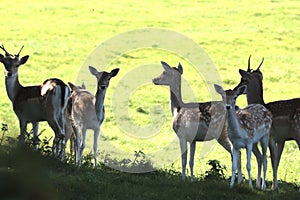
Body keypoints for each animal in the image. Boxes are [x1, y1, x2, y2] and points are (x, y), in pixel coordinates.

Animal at [234, 55, 300, 190]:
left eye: (243, 79)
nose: (235, 89)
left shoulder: (271, 136)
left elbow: (272, 160)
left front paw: (273, 187)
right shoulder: (281, 139)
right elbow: (277, 160)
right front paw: (273, 185)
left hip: (298, 131)